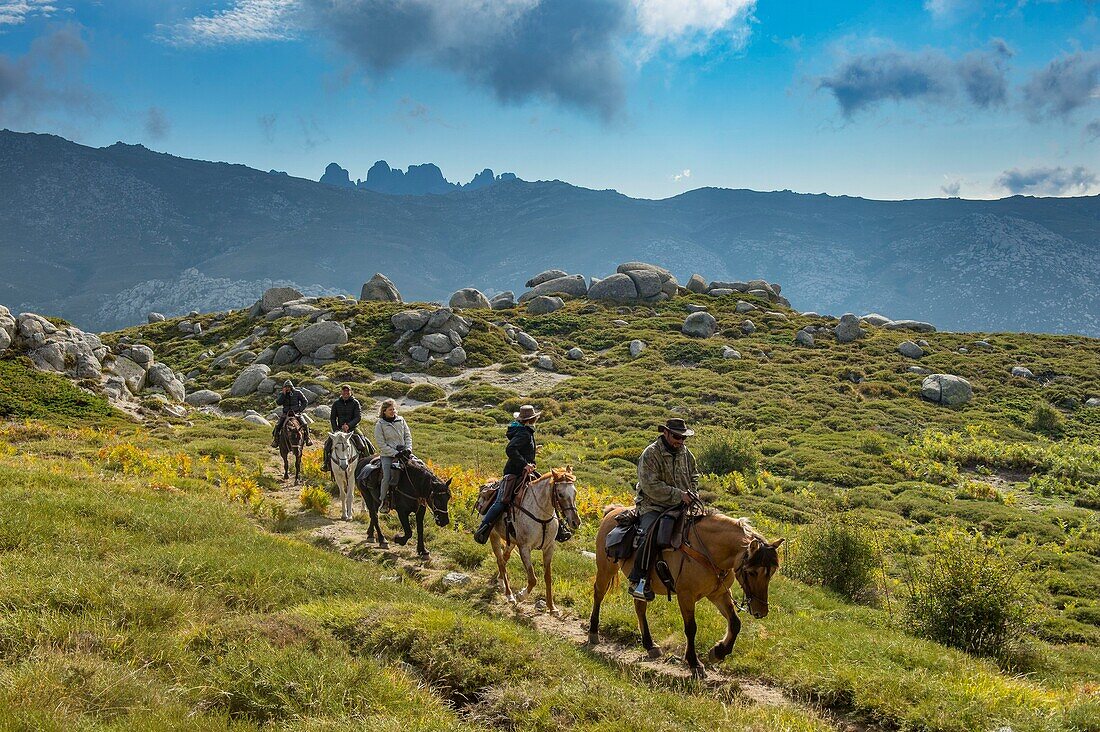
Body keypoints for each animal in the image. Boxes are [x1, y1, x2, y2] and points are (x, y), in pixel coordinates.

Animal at [486, 464, 580, 612]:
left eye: (575, 492)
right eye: (560, 494)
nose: (576, 522)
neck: (541, 516)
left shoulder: (548, 548)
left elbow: (548, 577)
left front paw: (552, 607)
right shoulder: (524, 548)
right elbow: (532, 579)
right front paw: (520, 596)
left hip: (511, 542)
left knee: (504, 559)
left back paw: (501, 580)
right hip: (494, 536)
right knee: (500, 560)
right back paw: (509, 595)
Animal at [594, 506, 783, 678]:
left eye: (772, 572)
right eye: (752, 572)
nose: (761, 611)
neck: (707, 550)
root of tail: (612, 511)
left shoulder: (719, 594)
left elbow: (735, 623)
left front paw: (718, 652)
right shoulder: (686, 596)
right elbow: (691, 628)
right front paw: (695, 663)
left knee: (639, 607)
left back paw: (650, 645)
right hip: (606, 568)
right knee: (598, 594)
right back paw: (593, 633)